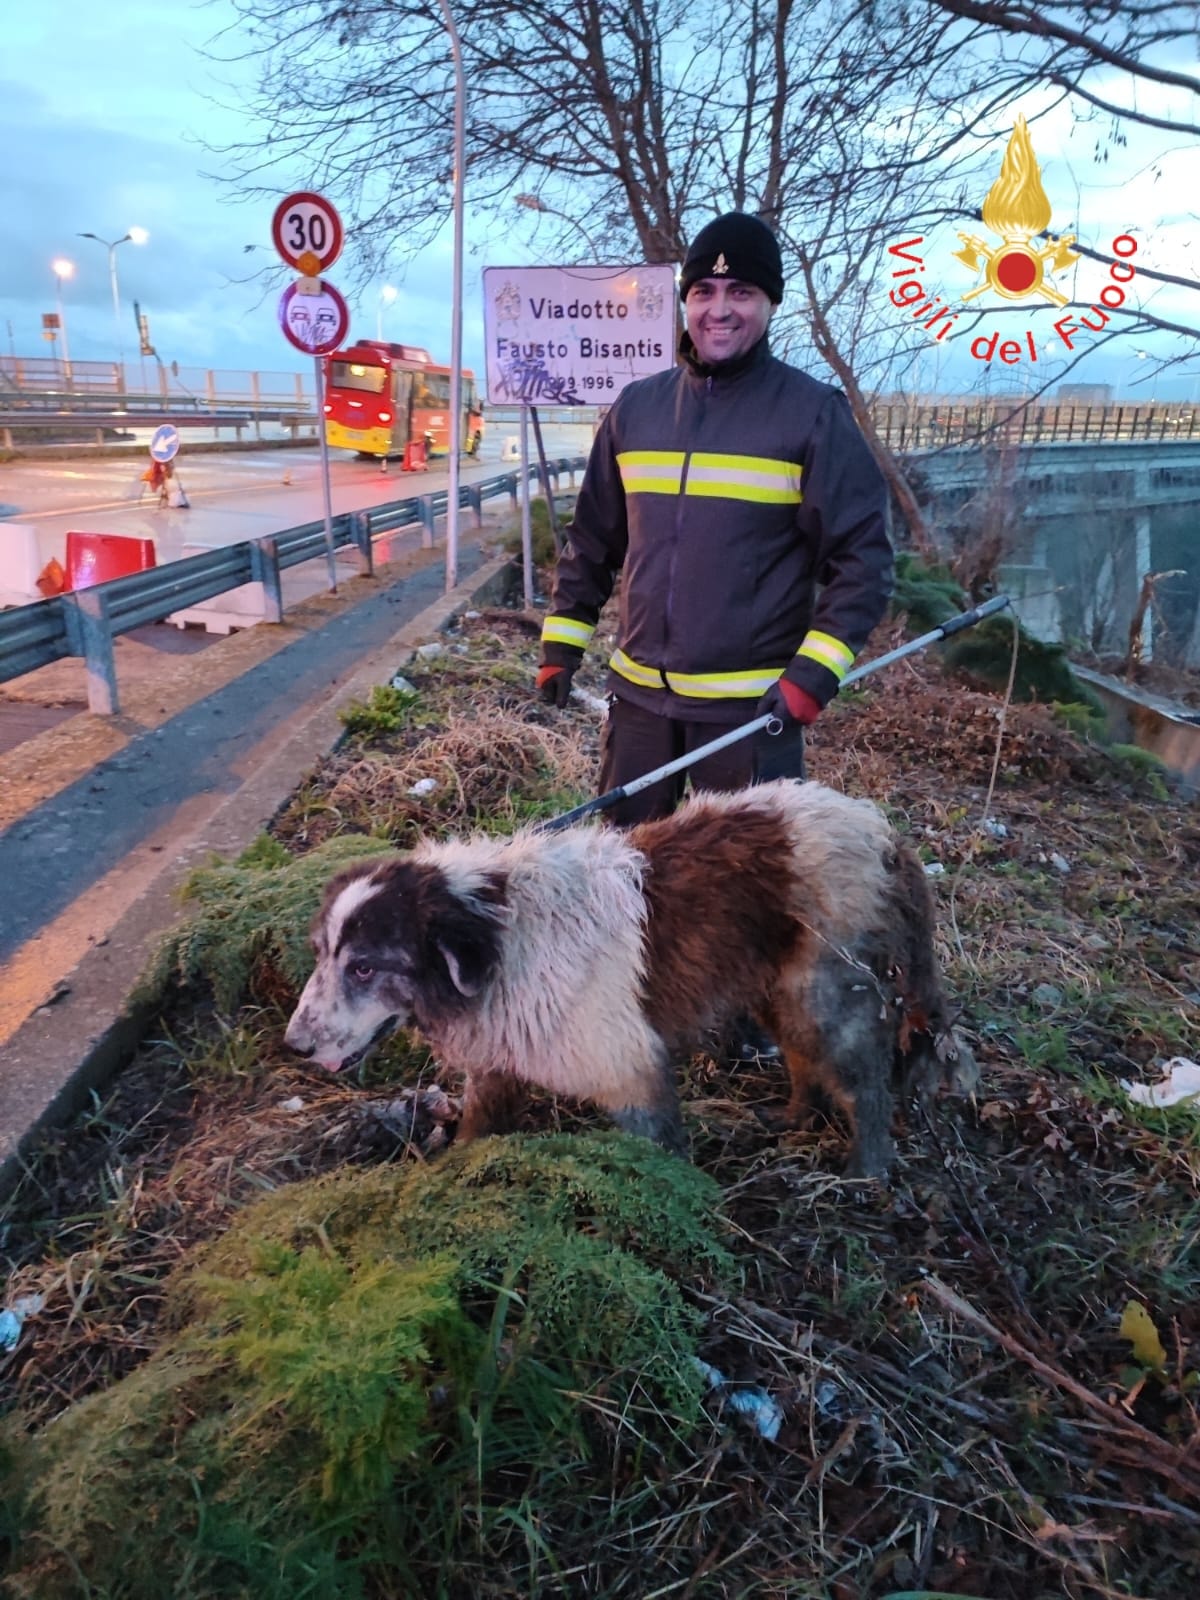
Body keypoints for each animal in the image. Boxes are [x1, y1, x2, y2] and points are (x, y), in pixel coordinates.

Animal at [286, 780, 979, 1184]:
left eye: (365, 966)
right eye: (322, 955)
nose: (294, 1045)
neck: (502, 933)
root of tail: (881, 830)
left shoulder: (630, 1068)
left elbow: (660, 1153)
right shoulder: (500, 1064)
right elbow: (479, 1127)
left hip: (826, 996)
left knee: (865, 1085)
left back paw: (867, 1169)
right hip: (777, 988)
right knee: (805, 1063)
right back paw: (791, 1119)